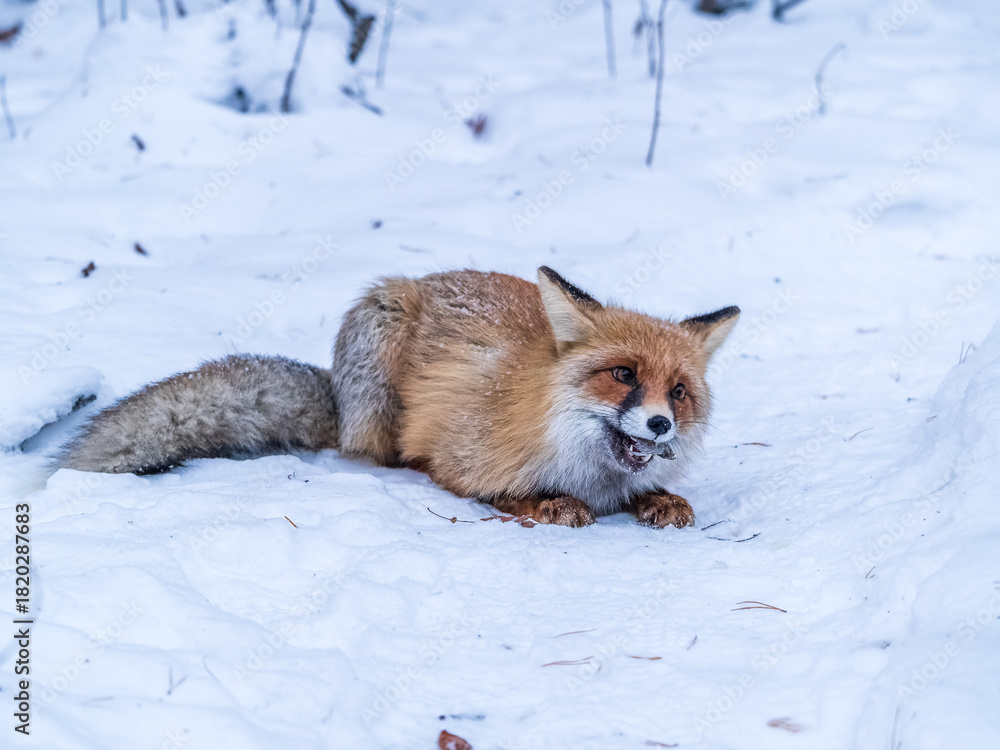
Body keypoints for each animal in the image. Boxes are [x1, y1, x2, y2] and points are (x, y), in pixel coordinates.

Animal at [60, 267, 739, 528]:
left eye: (678, 392)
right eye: (622, 375)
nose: (660, 425)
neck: (589, 473)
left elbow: (651, 493)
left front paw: (660, 498)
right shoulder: (460, 460)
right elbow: (497, 492)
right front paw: (550, 504)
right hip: (380, 325)